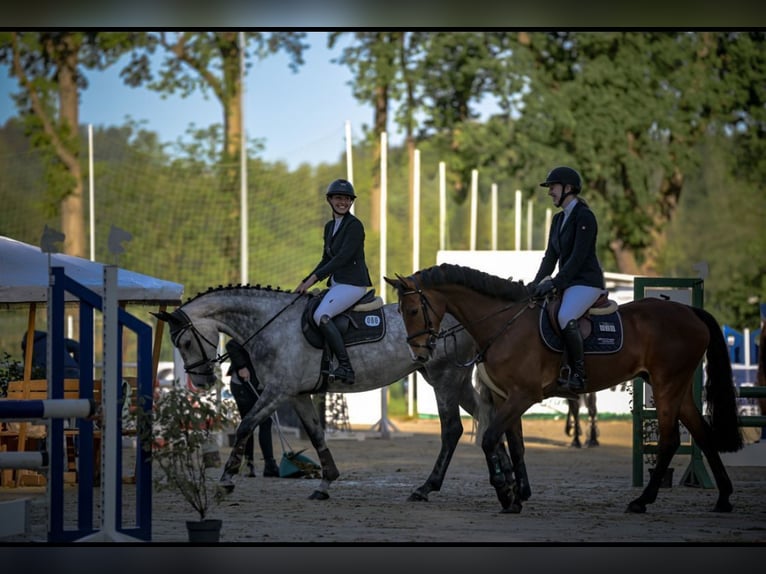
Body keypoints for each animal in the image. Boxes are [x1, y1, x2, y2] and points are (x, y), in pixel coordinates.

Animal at [154, 288, 528, 504]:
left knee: (453, 430)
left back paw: (427, 488)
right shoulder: (298, 395)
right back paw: (506, 482)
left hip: (444, 379)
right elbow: (316, 433)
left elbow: (246, 426)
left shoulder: (277, 392)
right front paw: (326, 482)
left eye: (184, 342)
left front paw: (226, 480)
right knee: (487, 420)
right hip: (457, 382)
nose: (201, 382)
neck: (273, 325)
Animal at [388, 264, 748, 516]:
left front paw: (505, 492)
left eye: (414, 310)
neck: (505, 325)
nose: (419, 355)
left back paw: (642, 501)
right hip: (678, 387)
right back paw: (723, 498)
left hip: (666, 386)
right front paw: (518, 496)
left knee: (671, 441)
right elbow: (515, 445)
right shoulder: (507, 397)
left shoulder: (522, 396)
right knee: (702, 434)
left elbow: (490, 438)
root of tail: (690, 311)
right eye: (401, 312)